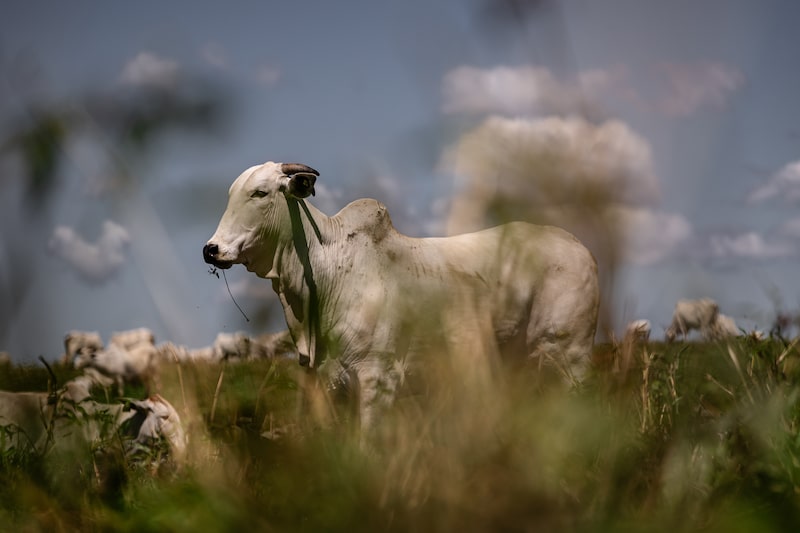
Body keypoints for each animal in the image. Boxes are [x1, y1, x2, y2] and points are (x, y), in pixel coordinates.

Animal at [203, 161, 600, 434]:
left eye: (260, 193)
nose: (211, 250)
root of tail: (580, 248)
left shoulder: (379, 376)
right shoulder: (328, 379)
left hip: (569, 354)